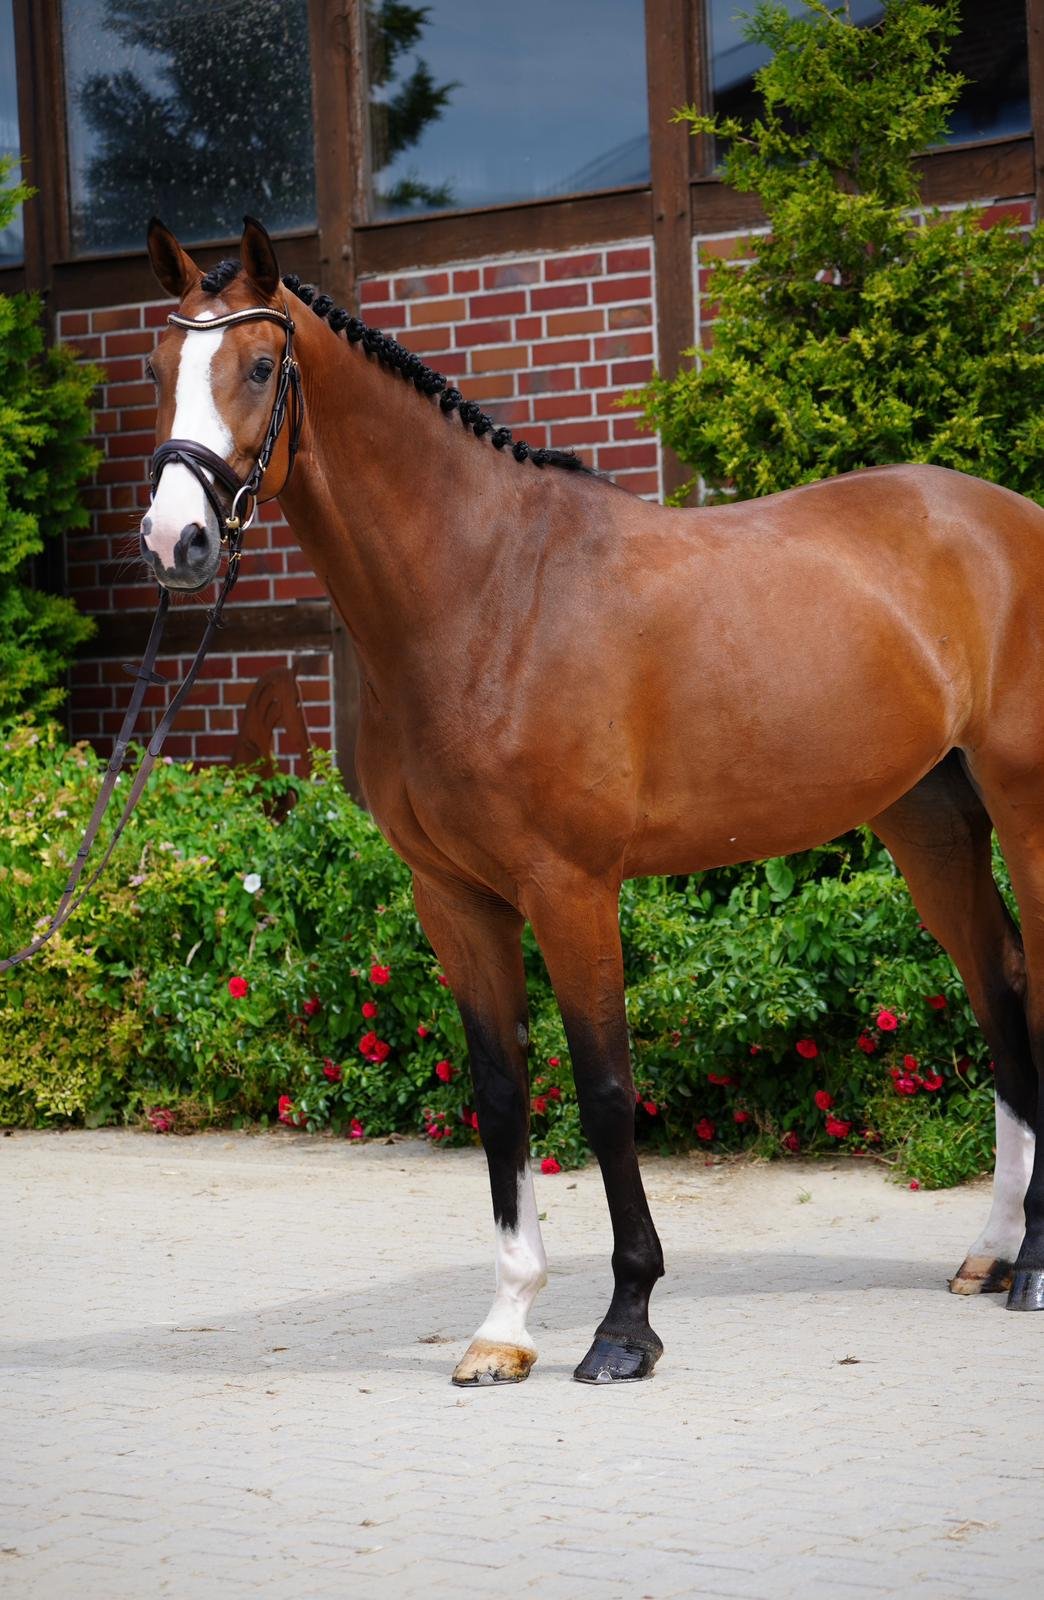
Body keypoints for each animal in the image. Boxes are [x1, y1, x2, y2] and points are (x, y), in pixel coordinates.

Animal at [139, 215, 1044, 1385]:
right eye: (159, 366)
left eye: (257, 366)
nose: (176, 542)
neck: (485, 593)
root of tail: (1007, 519)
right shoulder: (453, 898)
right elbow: (500, 1095)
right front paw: (505, 1326)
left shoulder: (570, 888)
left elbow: (606, 1092)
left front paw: (625, 1325)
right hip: (927, 821)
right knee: (999, 986)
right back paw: (997, 1250)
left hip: (1025, 807)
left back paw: (1033, 1271)